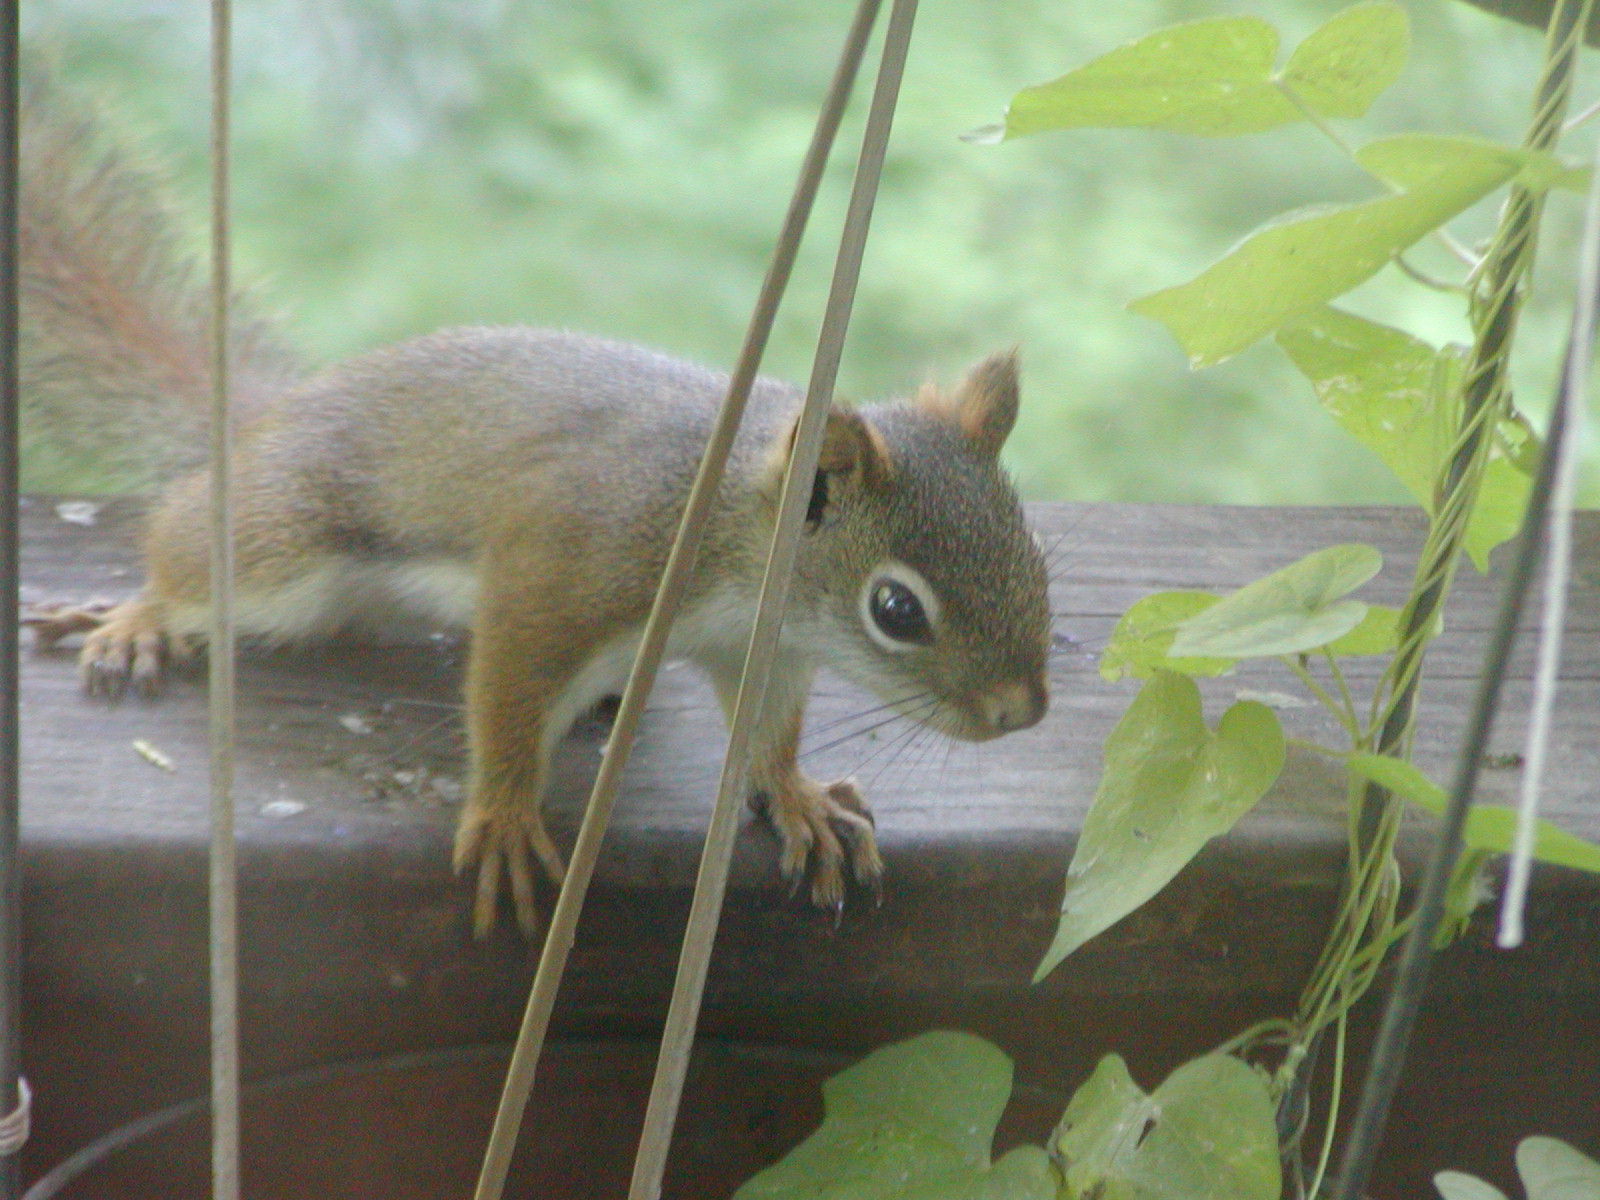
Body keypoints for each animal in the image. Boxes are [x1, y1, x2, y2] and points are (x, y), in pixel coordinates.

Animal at [21, 72, 1062, 940]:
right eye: (895, 609)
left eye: (1036, 557)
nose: (1022, 713)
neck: (729, 536)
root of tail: (275, 412)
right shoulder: (569, 570)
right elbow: (507, 697)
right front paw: (506, 817)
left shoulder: (752, 649)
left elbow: (765, 733)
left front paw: (796, 796)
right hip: (283, 542)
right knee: (188, 552)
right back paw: (133, 620)